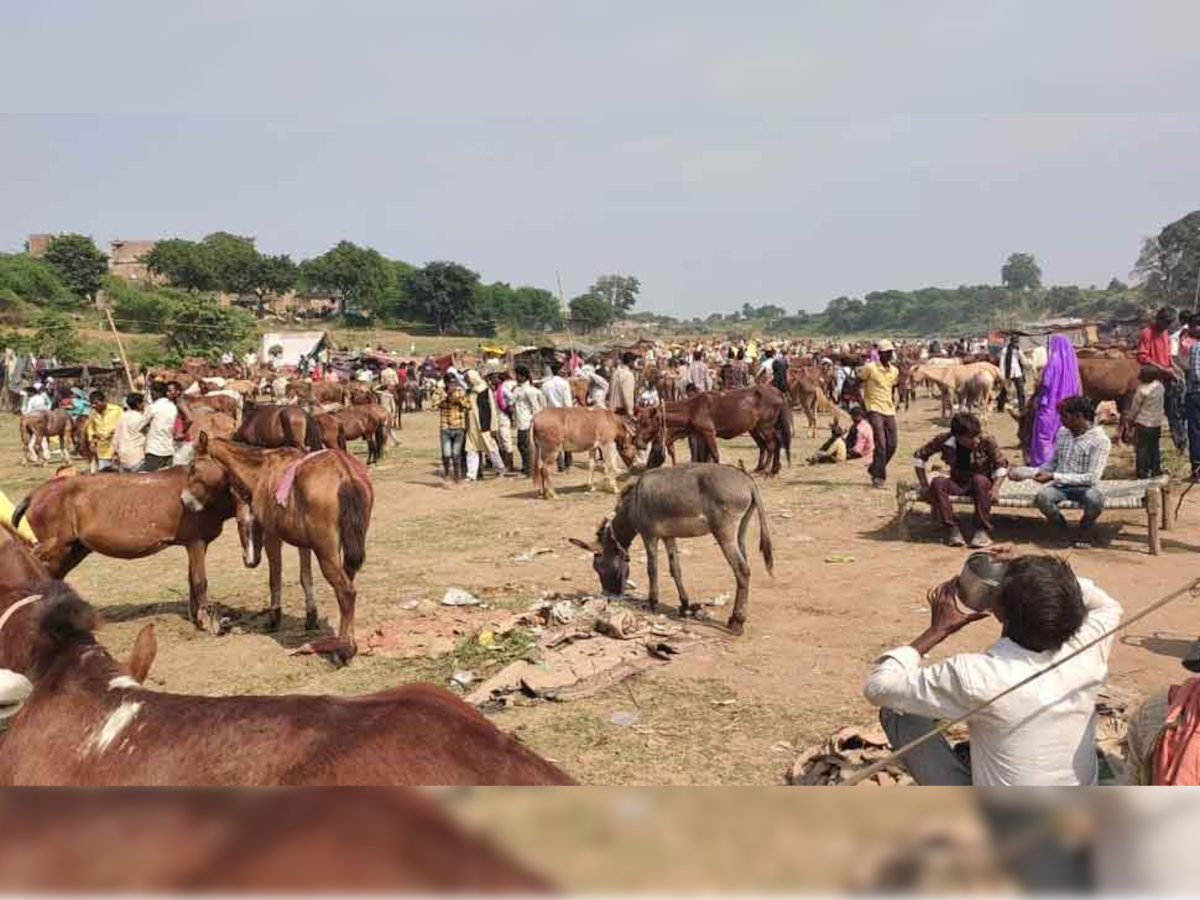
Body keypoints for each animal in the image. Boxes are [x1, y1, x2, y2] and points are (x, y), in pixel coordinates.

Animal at [10, 465, 241, 633]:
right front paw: (208, 622)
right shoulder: (196, 542)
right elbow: (200, 581)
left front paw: (197, 618)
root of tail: (36, 493)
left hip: (72, 550)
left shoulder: (193, 545)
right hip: (56, 546)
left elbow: (192, 580)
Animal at [180, 434, 369, 662]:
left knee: (346, 592)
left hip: (326, 553)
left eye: (193, 468)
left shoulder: (272, 536)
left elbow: (274, 578)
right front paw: (311, 618)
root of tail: (344, 472)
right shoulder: (304, 544)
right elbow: (305, 577)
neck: (261, 471)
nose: (184, 500)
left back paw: (344, 650)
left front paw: (274, 618)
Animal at [633, 384, 792, 475]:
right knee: (766, 444)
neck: (692, 408)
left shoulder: (709, 434)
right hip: (755, 428)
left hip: (766, 427)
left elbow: (714, 456)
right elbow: (705, 457)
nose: (637, 443)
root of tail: (778, 392)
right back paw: (767, 468)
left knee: (772, 444)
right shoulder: (701, 436)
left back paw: (768, 470)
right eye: (638, 422)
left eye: (645, 423)